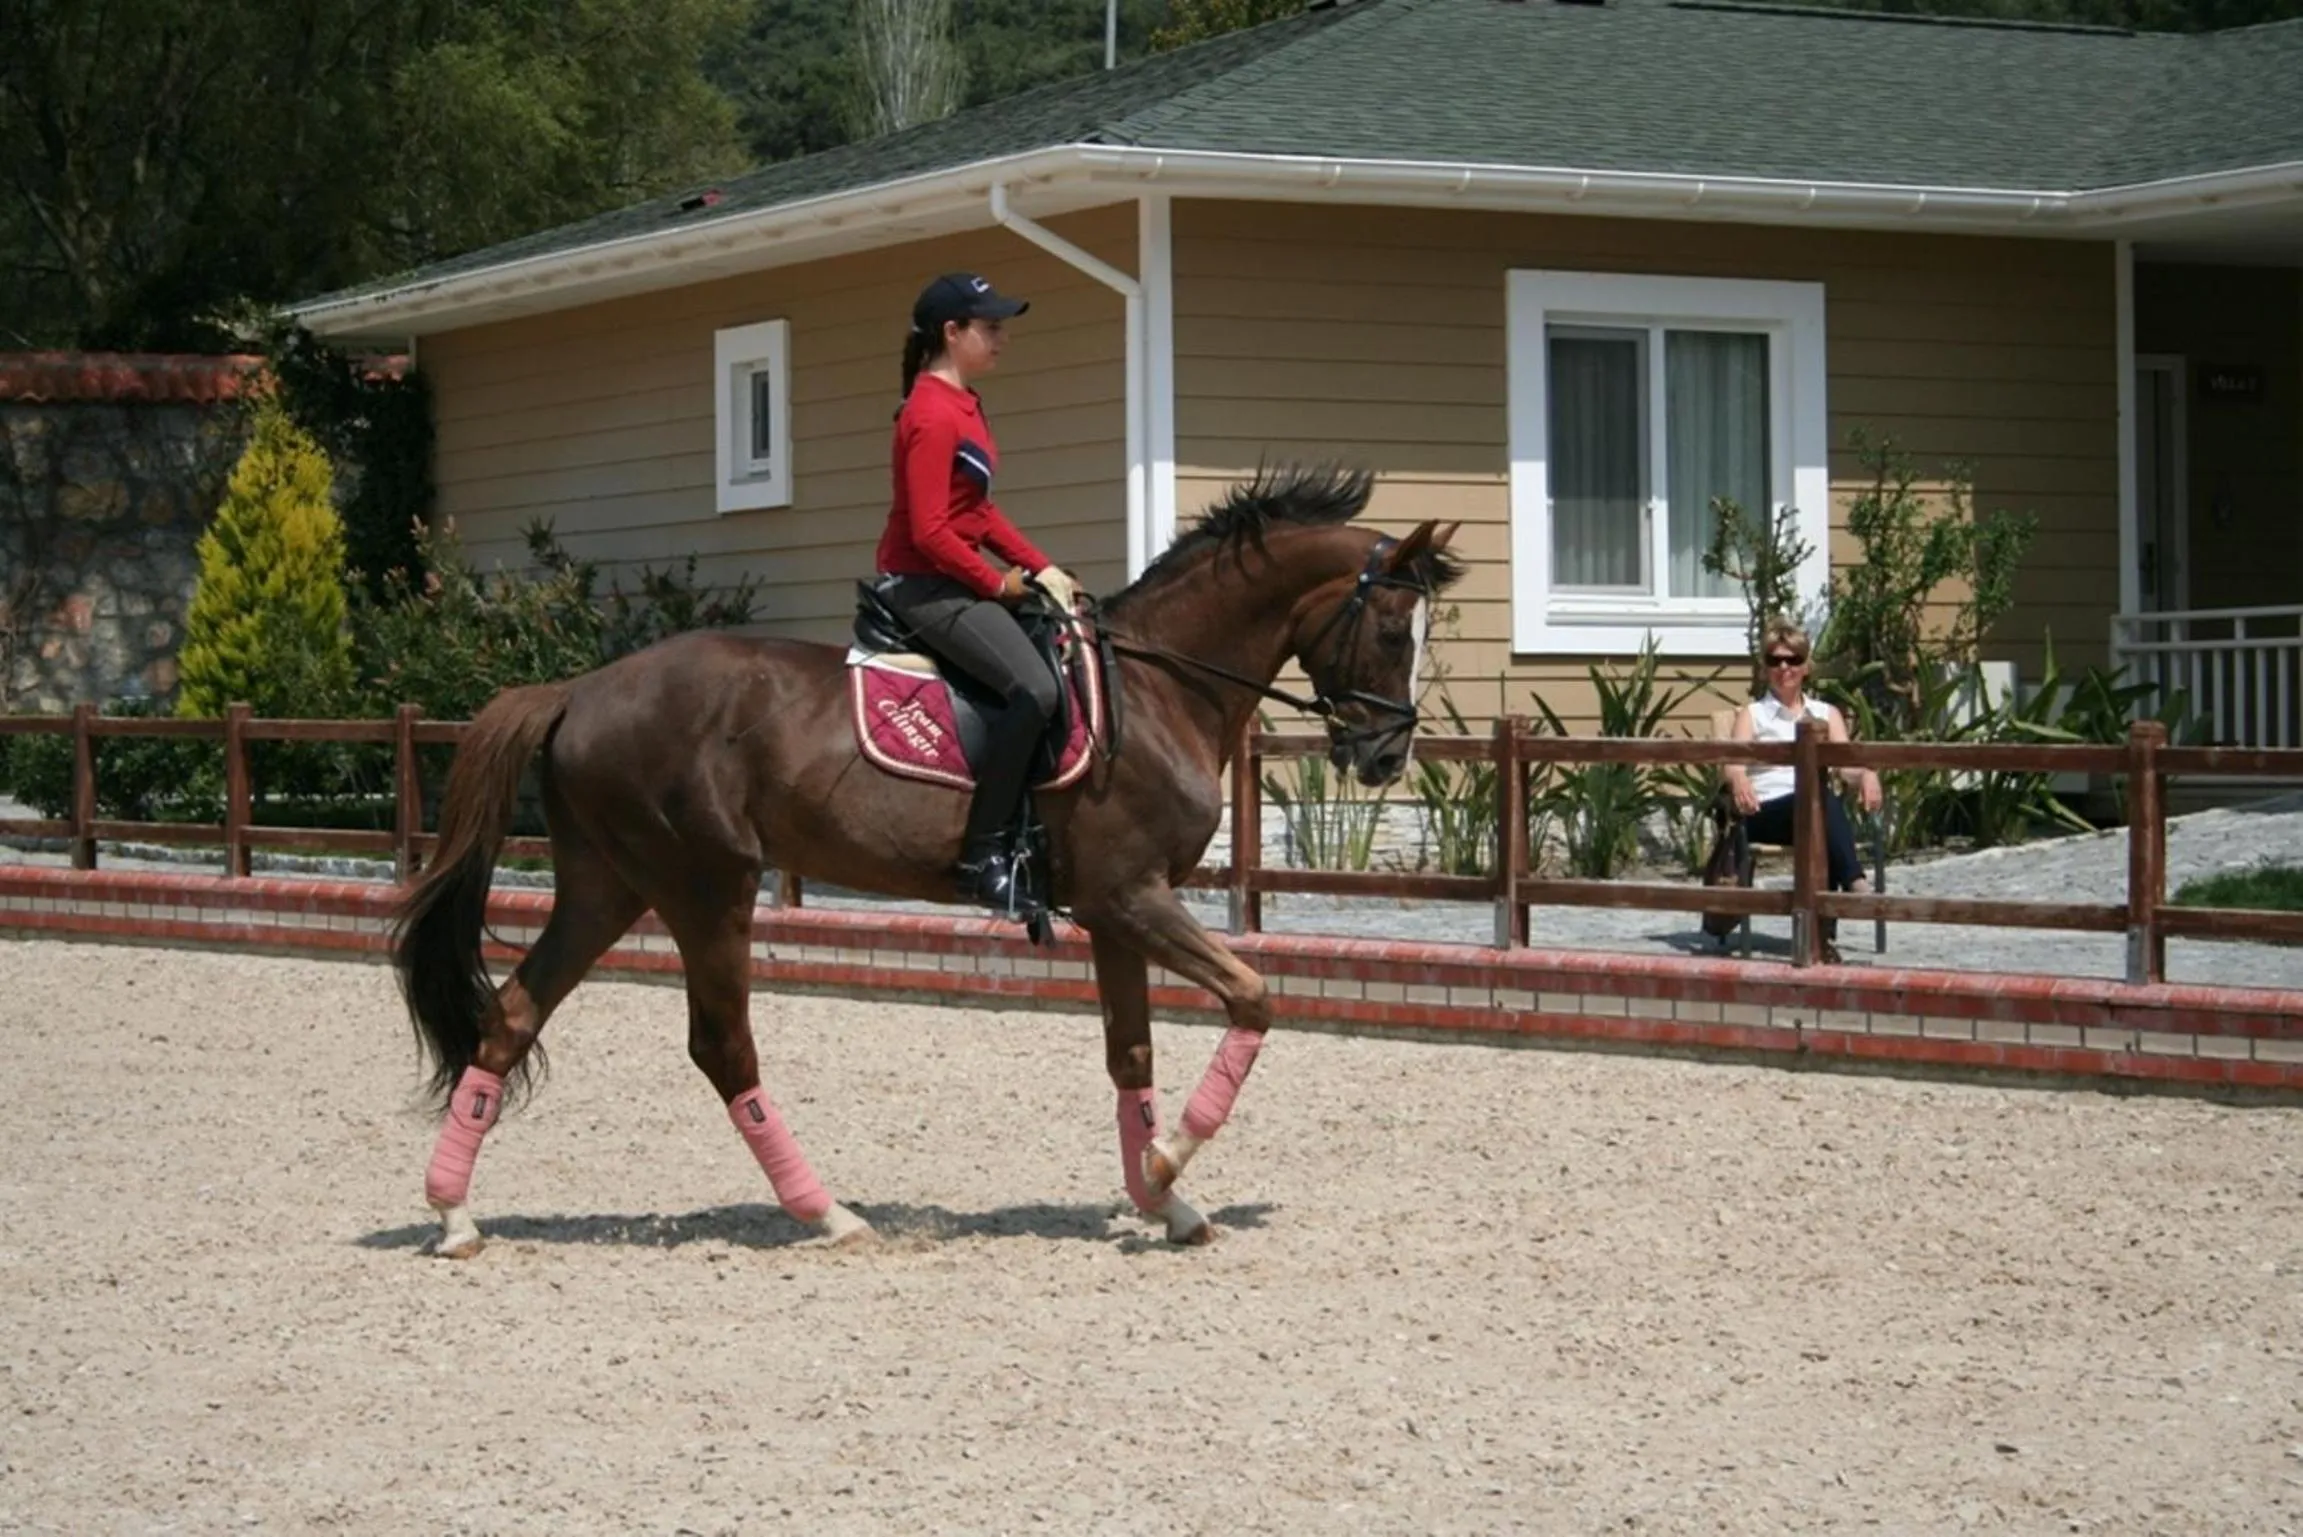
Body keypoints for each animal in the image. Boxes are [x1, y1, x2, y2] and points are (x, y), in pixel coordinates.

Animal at [392, 462, 1463, 1256]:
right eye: (1387, 628)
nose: (1386, 756)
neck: (1163, 686)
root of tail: (578, 688)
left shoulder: (1114, 910)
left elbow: (1131, 1056)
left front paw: (1164, 1199)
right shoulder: (1133, 897)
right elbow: (1252, 997)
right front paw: (1166, 1169)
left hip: (608, 887)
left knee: (512, 1016)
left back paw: (453, 1214)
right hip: (705, 888)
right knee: (721, 1045)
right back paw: (827, 1212)